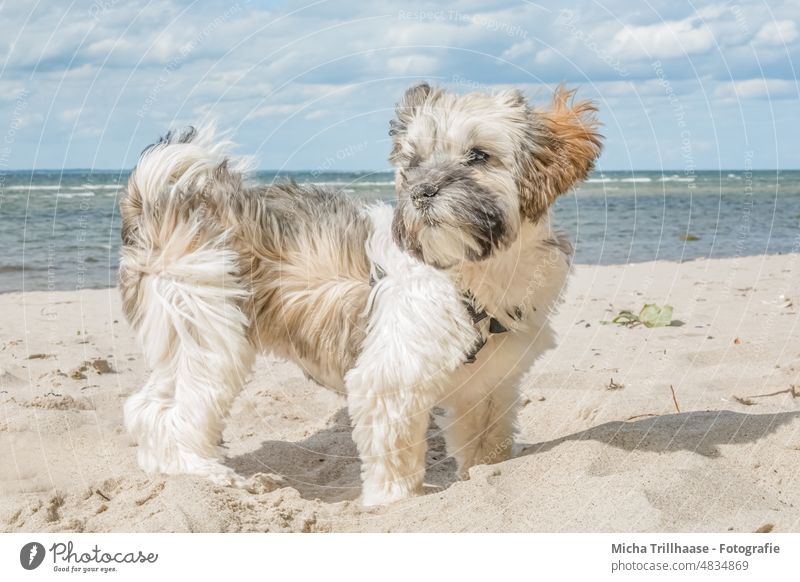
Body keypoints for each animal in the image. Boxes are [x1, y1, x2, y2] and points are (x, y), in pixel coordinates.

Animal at [120, 82, 600, 506]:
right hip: (210, 332)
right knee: (174, 411)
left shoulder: (490, 381)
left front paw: (483, 473)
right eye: (414, 162)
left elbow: (487, 437)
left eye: (479, 155)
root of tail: (164, 203)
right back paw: (205, 472)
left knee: (148, 406)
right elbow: (395, 453)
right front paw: (394, 501)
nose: (422, 192)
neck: (470, 273)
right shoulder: (389, 377)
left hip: (185, 335)